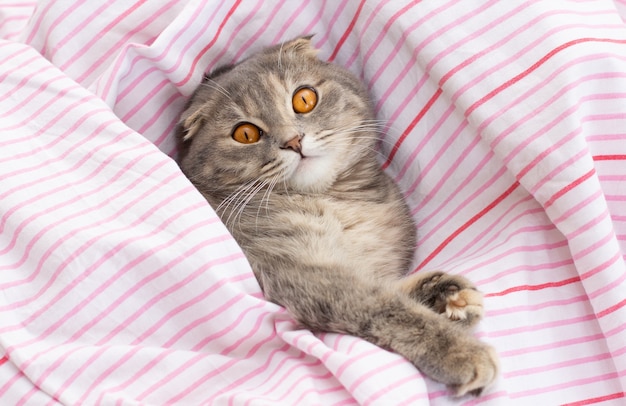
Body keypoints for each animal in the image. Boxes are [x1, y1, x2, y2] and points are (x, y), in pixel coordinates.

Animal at [176, 36, 498, 398]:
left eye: (304, 99)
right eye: (245, 134)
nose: (293, 140)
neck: (337, 200)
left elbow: (380, 284)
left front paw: (442, 294)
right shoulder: (296, 276)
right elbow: (382, 304)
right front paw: (457, 349)